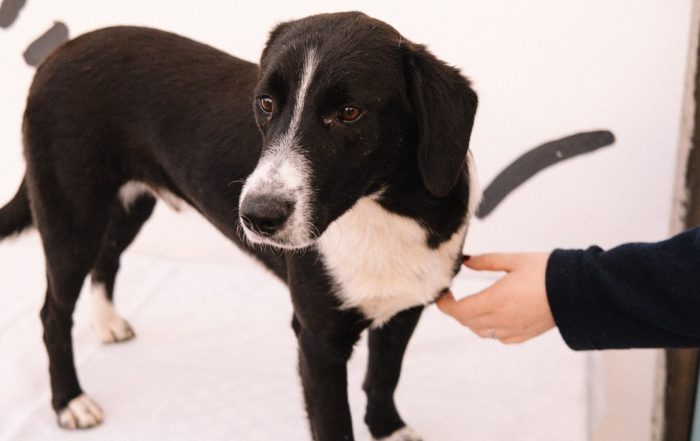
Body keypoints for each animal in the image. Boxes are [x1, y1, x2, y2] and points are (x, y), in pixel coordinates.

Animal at [0, 11, 478, 441]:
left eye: (349, 112)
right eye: (265, 103)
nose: (256, 215)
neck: (382, 213)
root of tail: (56, 54)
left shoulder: (405, 309)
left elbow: (383, 377)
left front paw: (388, 429)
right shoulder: (317, 339)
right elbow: (334, 425)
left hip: (127, 207)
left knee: (108, 258)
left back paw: (107, 324)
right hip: (69, 218)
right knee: (53, 314)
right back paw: (70, 402)